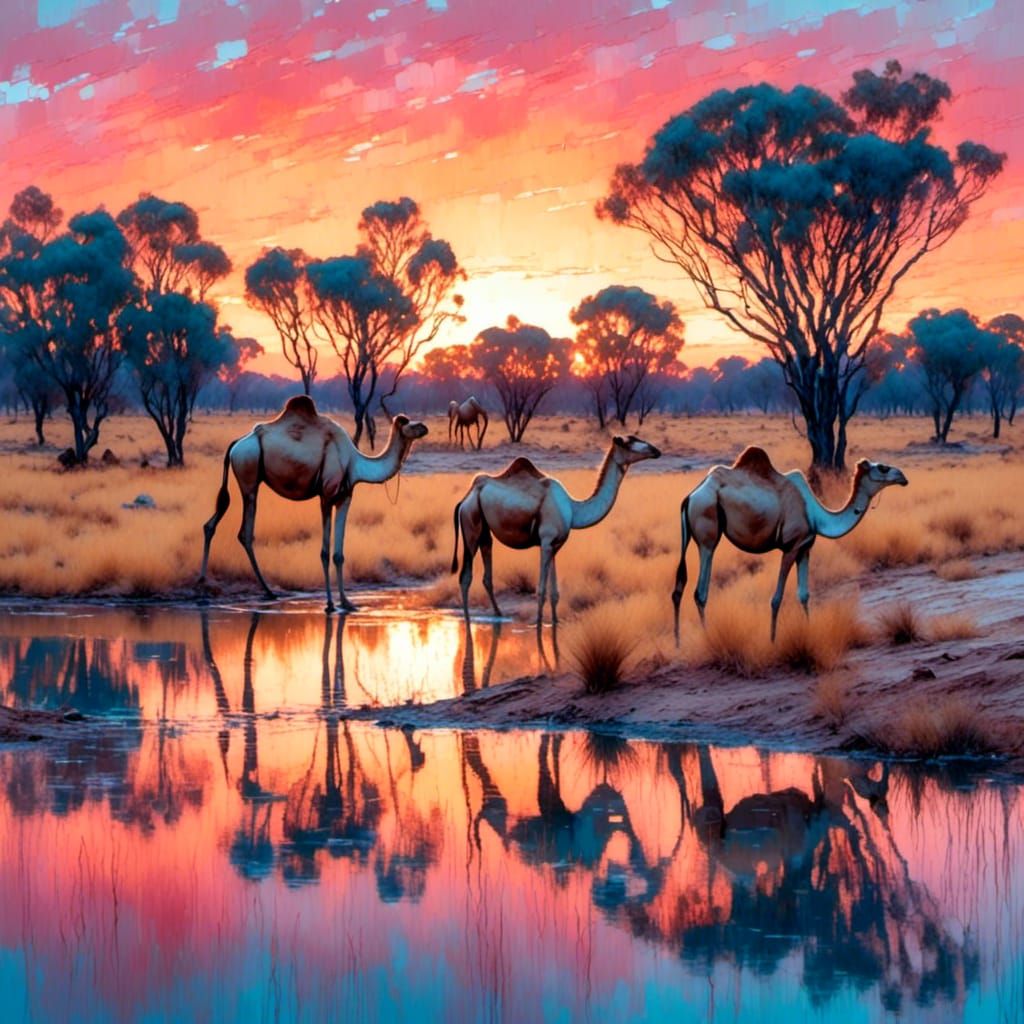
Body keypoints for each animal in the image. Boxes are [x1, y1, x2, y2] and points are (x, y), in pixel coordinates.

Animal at [198, 395, 428, 613]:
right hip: (249, 477)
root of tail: (236, 443)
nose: (425, 428)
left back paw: (205, 584)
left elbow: (339, 554)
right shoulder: (326, 496)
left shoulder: (345, 498)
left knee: (212, 523)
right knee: (245, 533)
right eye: (410, 424)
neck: (355, 462)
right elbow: (325, 553)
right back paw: (266, 591)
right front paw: (330, 604)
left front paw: (347, 603)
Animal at [451, 434, 661, 625]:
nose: (656, 451)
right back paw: (468, 620)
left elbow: (554, 593)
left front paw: (555, 623)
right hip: (471, 523)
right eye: (630, 442)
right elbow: (541, 590)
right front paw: (538, 625)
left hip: (484, 530)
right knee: (465, 576)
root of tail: (465, 499)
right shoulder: (545, 542)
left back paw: (499, 614)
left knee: (487, 572)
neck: (573, 510)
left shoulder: (556, 545)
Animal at [672, 446, 908, 643]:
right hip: (707, 531)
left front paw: (809, 630)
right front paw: (772, 640)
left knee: (678, 590)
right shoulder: (791, 547)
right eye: (883, 468)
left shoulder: (805, 548)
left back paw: (678, 643)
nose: (903, 477)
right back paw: (706, 637)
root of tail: (690, 497)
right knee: (700, 592)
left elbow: (804, 594)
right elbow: (776, 598)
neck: (815, 515)